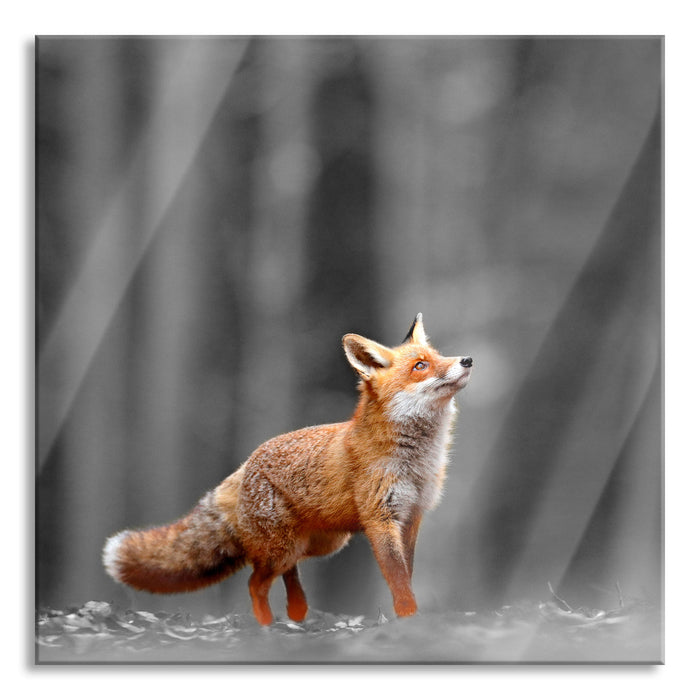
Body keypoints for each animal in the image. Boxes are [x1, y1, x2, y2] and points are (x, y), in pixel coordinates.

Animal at [103, 313, 472, 625]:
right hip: (284, 547)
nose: (466, 360)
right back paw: (268, 626)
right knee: (255, 582)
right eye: (420, 366)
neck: (416, 461)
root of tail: (245, 464)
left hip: (320, 543)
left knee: (287, 573)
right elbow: (397, 579)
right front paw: (408, 618)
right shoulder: (381, 519)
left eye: (438, 355)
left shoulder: (411, 517)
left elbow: (406, 575)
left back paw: (297, 612)